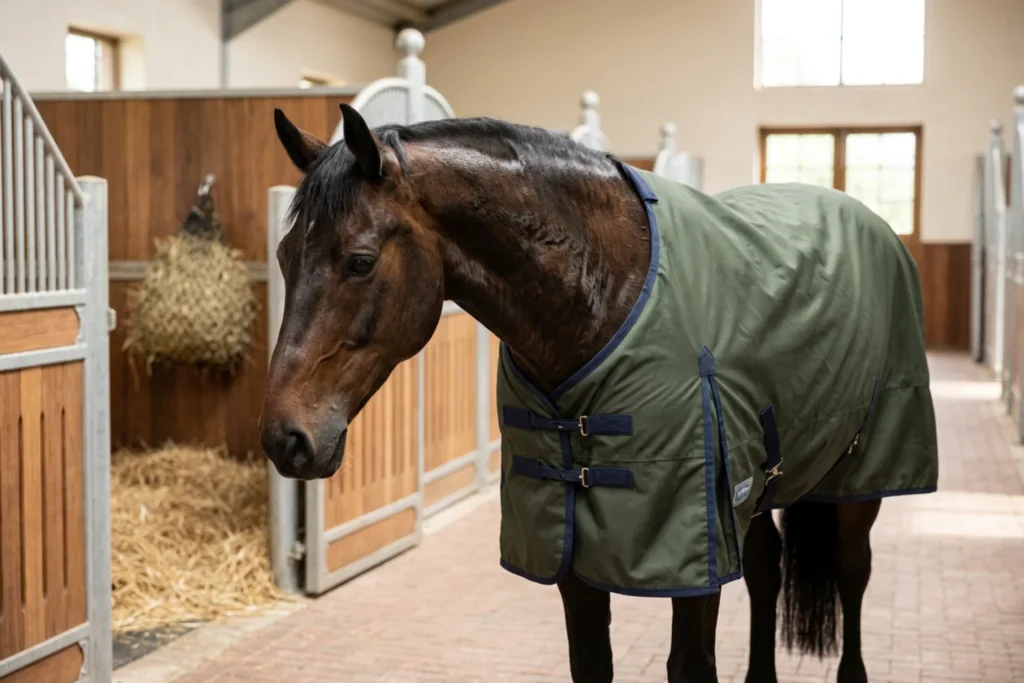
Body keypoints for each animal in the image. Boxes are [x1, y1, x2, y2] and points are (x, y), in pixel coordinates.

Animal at [258, 103, 938, 683]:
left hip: (859, 476)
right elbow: (592, 660)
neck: (604, 295)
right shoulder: (573, 547)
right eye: (285, 256)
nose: (284, 438)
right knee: (767, 569)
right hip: (757, 485)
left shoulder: (691, 548)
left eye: (360, 261)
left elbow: (690, 666)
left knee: (852, 573)